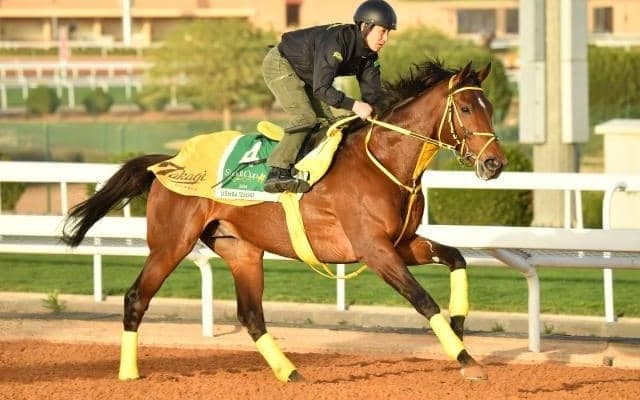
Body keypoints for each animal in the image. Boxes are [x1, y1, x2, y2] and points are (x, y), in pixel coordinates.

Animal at [62, 60, 507, 382]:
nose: (495, 163)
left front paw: (460, 324)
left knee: (251, 316)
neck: (382, 161)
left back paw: (290, 372)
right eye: (466, 108)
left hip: (241, 250)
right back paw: (128, 374)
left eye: (490, 108)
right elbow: (422, 299)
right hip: (171, 244)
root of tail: (167, 163)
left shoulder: (402, 242)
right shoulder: (374, 249)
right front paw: (465, 358)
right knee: (136, 298)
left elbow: (456, 258)